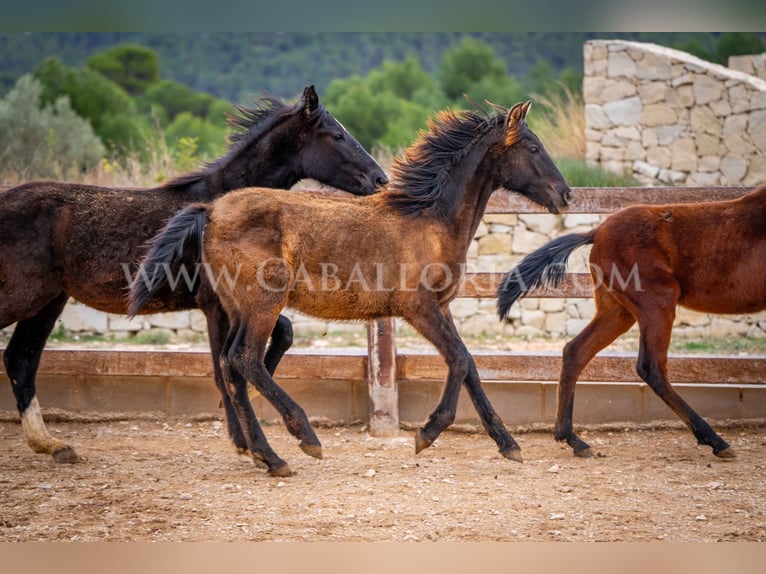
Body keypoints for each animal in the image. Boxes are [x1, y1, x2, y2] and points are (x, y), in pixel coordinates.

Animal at [0, 84, 390, 464]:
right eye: (336, 134)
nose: (380, 178)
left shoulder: (235, 304)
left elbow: (276, 338)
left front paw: (245, 437)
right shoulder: (215, 306)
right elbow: (226, 368)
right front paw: (256, 444)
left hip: (48, 301)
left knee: (21, 360)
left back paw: (54, 445)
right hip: (23, 297)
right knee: (19, 359)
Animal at [132, 100, 572, 476]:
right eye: (533, 147)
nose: (565, 194)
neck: (430, 220)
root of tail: (209, 210)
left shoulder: (442, 307)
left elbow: (470, 366)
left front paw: (508, 444)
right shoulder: (419, 308)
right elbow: (460, 360)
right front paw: (428, 433)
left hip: (238, 308)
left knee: (230, 366)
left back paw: (266, 455)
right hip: (262, 305)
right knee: (245, 360)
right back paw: (302, 439)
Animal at [500, 187, 764, 462]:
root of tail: (598, 232)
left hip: (618, 310)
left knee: (576, 351)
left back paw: (573, 439)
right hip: (657, 303)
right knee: (651, 367)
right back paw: (715, 441)